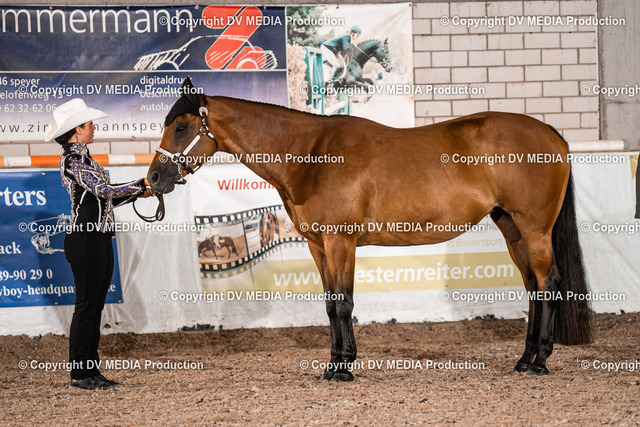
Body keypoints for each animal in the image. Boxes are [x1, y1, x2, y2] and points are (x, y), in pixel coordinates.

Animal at [147, 77, 593, 382]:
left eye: (182, 127)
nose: (153, 178)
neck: (312, 156)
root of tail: (551, 134)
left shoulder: (341, 241)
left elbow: (344, 302)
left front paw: (344, 368)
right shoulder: (318, 246)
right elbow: (330, 305)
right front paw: (333, 364)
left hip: (534, 230)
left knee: (549, 283)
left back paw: (539, 362)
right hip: (511, 227)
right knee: (533, 287)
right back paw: (524, 358)